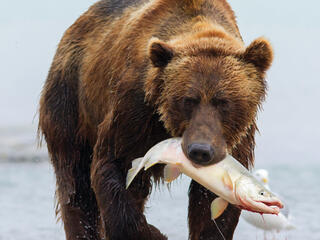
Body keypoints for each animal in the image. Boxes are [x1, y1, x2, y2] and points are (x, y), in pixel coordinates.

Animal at [38, 0, 272, 240]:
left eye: (224, 102)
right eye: (188, 100)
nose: (201, 150)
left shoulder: (237, 138)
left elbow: (208, 203)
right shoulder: (133, 109)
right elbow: (113, 164)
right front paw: (154, 232)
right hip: (70, 101)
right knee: (76, 182)